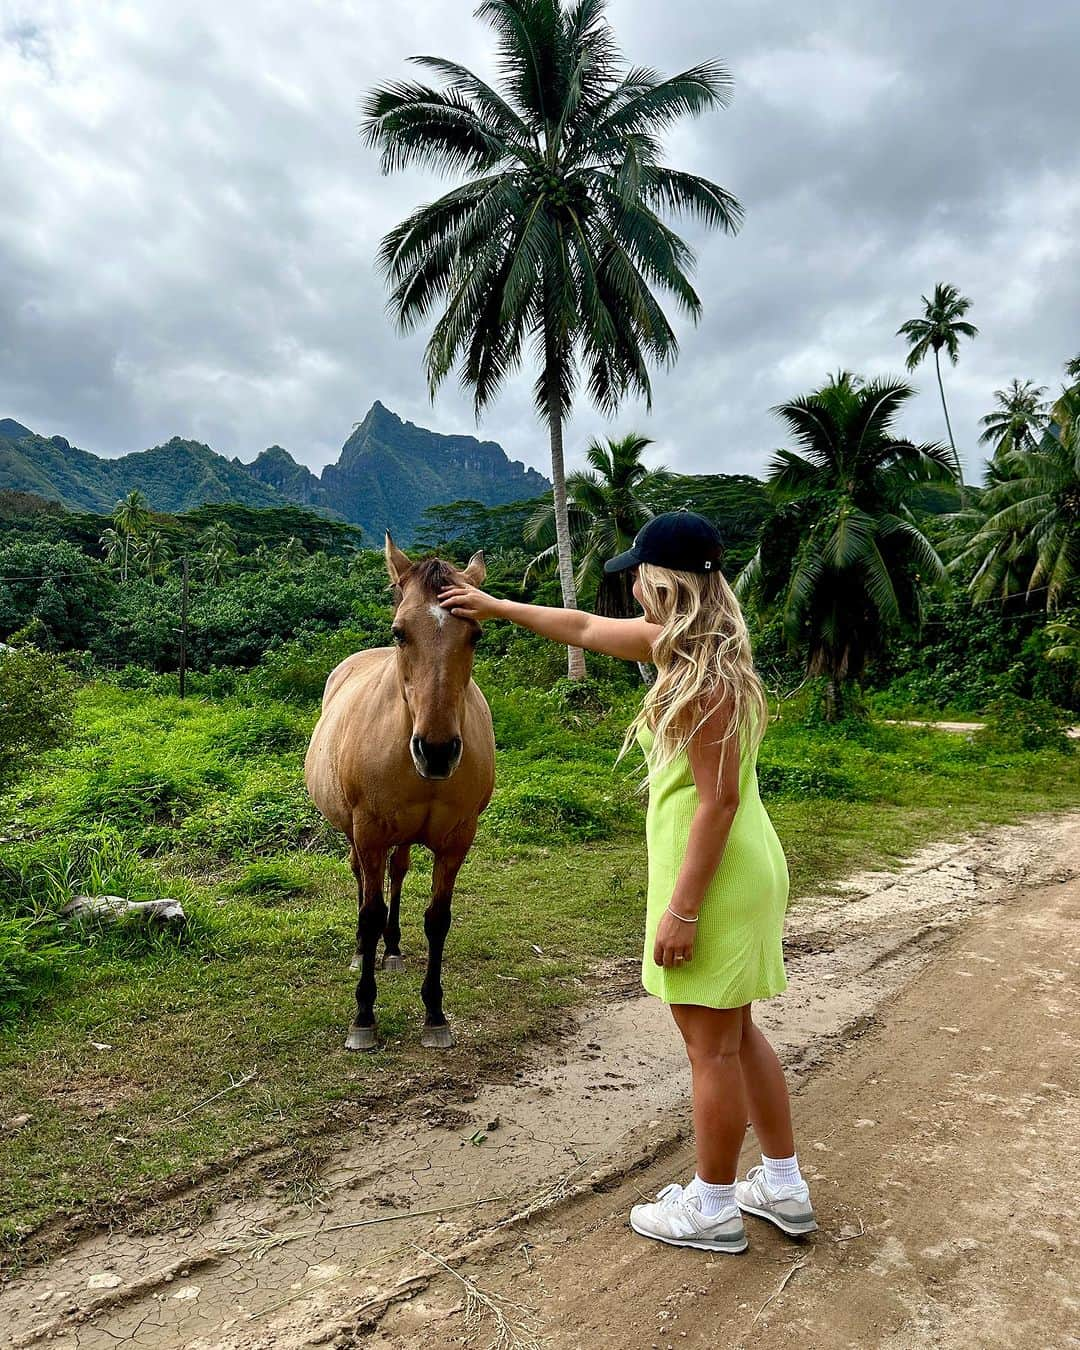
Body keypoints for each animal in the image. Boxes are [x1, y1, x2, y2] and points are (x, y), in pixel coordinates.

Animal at [303, 531, 496, 1047]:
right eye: (399, 632)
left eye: (476, 634)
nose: (437, 751)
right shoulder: (368, 832)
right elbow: (369, 914)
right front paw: (363, 1017)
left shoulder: (457, 840)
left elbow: (437, 919)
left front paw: (435, 1013)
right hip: (355, 832)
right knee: (362, 880)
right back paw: (363, 953)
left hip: (405, 835)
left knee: (399, 871)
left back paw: (391, 950)